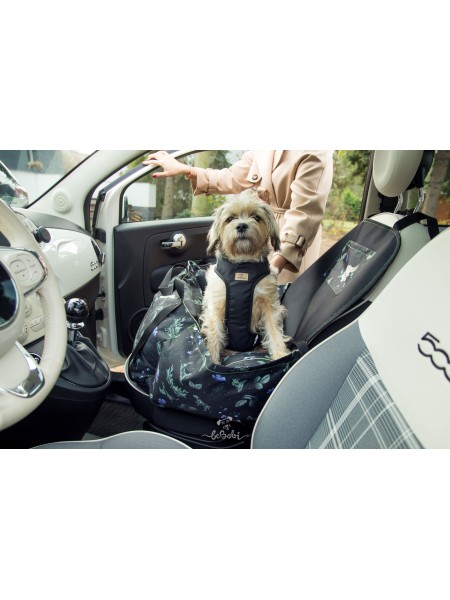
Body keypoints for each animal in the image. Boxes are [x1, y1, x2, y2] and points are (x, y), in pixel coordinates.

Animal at [200, 190, 290, 364]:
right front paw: (213, 362)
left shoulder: (269, 304)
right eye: (230, 219)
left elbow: (274, 330)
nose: (241, 225)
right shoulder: (216, 307)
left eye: (256, 217)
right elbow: (214, 336)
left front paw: (280, 355)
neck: (243, 264)